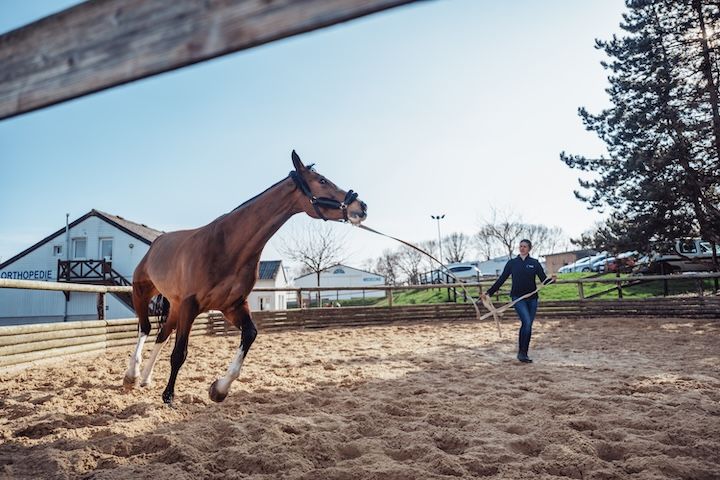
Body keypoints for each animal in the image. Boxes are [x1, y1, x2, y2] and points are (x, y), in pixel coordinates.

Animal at [123, 151, 367, 405]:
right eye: (322, 180)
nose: (361, 206)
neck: (228, 245)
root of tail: (156, 243)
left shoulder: (233, 306)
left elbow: (250, 335)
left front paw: (218, 389)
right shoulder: (191, 306)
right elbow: (179, 353)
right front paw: (169, 395)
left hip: (176, 307)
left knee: (162, 334)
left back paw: (145, 378)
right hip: (143, 293)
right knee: (146, 328)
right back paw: (132, 375)